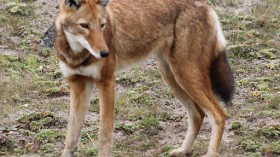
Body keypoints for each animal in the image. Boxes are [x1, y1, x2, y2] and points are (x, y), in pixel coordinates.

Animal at [54, 0, 234, 156]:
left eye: (102, 25)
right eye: (84, 26)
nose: (105, 53)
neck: (77, 54)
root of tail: (206, 6)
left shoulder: (106, 82)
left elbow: (104, 134)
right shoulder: (78, 85)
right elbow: (71, 137)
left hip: (186, 77)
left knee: (219, 115)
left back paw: (210, 153)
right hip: (172, 77)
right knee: (198, 115)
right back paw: (183, 150)